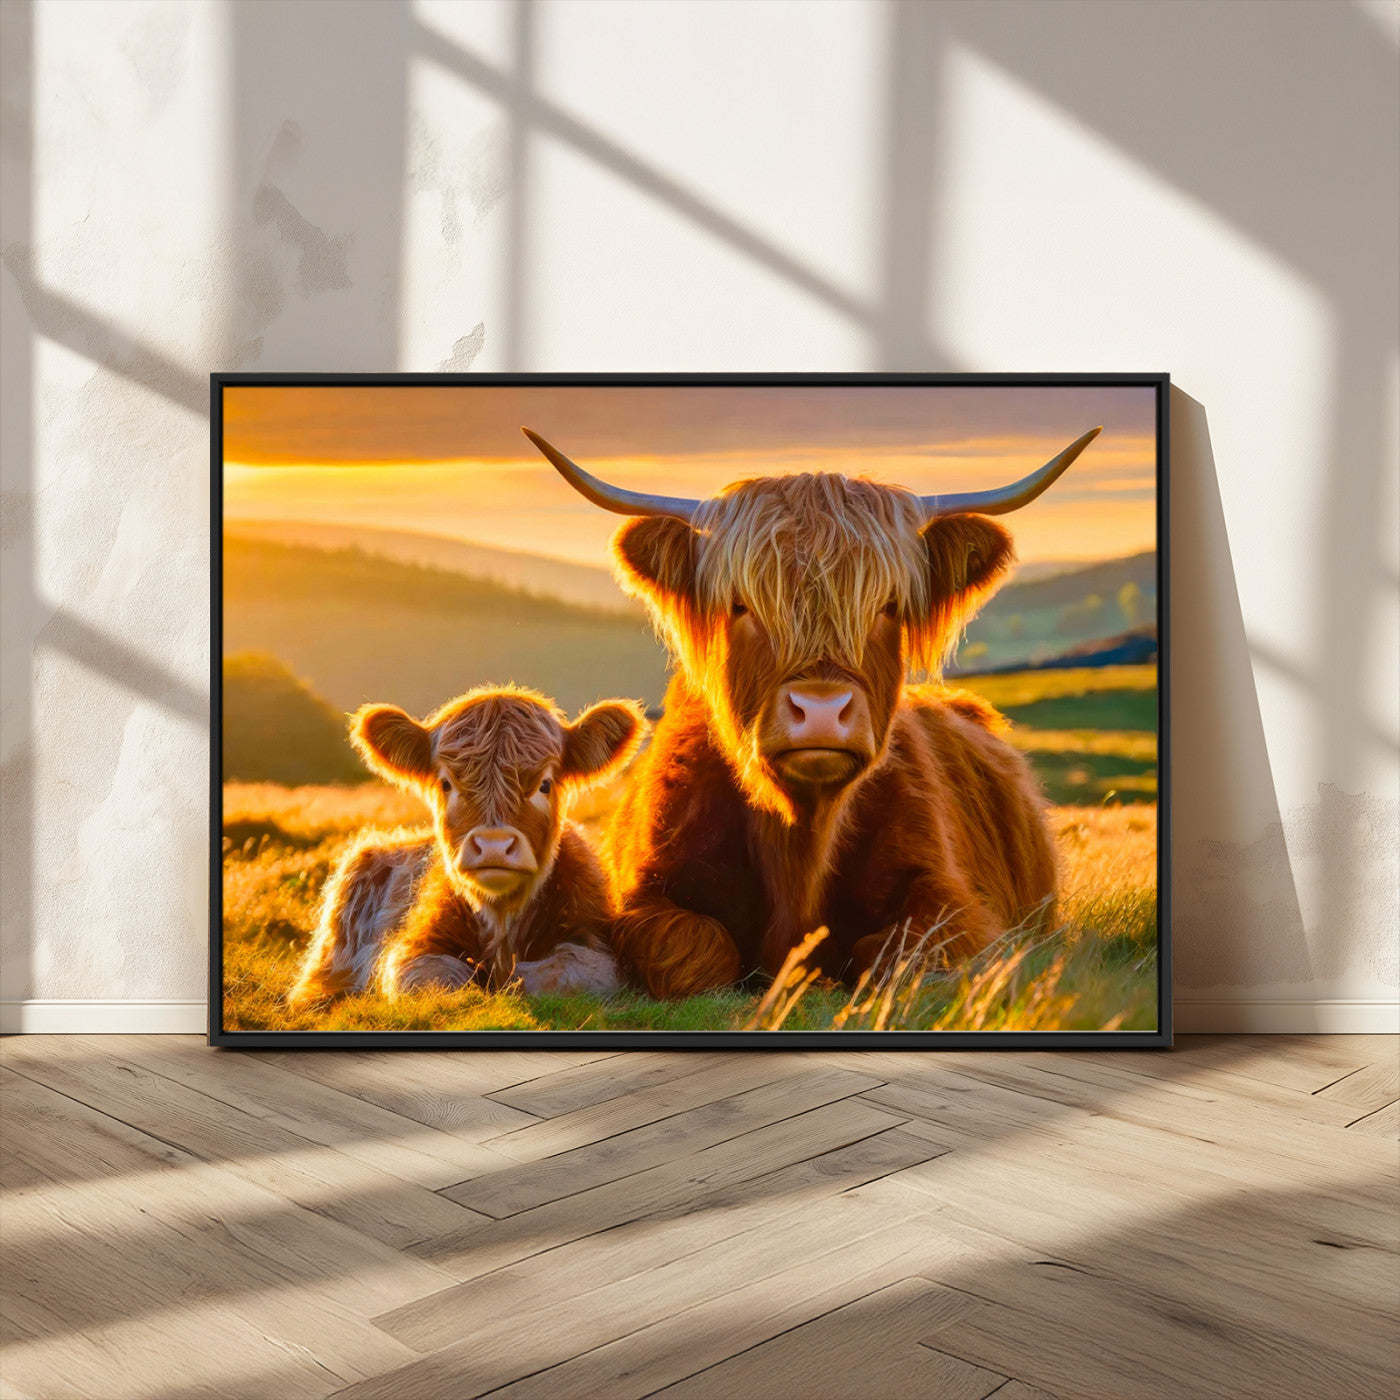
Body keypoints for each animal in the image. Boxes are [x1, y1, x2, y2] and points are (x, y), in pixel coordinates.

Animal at [287, 685, 646, 1008]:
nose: (493, 846)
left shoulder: (596, 944)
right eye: (447, 783)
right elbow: (436, 981)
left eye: (544, 784)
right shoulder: (411, 949)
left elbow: (561, 974)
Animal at [523, 424, 1101, 999]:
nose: (821, 711)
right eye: (741, 605)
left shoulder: (955, 905)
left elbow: (893, 957)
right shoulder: (644, 899)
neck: (799, 841)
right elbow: (695, 953)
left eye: (888, 606)